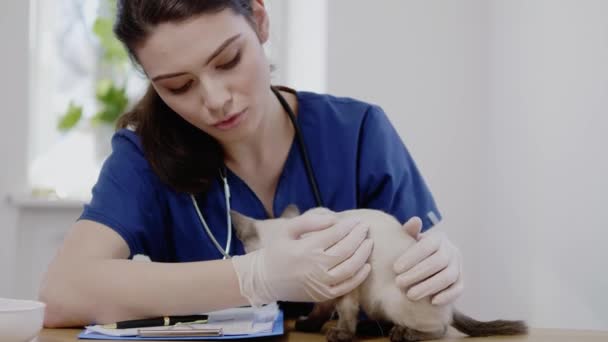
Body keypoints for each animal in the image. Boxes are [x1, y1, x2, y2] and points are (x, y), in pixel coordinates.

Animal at [230, 206, 524, 342]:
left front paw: (341, 334)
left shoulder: (347, 285)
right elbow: (319, 311)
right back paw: (374, 328)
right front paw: (308, 325)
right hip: (376, 303)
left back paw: (404, 333)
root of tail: (450, 302)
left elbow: (344, 313)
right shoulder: (324, 291)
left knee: (441, 329)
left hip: (389, 298)